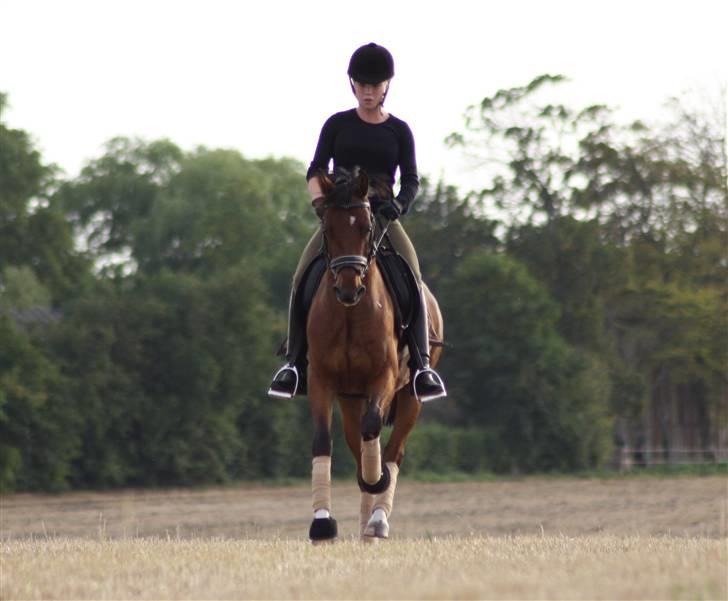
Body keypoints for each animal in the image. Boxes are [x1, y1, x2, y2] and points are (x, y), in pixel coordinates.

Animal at [305, 167, 444, 542]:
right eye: (328, 228)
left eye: (367, 228)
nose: (348, 288)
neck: (350, 314)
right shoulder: (321, 379)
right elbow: (323, 440)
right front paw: (322, 522)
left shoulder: (384, 376)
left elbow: (373, 429)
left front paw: (376, 478)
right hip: (351, 397)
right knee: (358, 444)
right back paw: (366, 520)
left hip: (410, 396)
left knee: (394, 449)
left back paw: (378, 520)